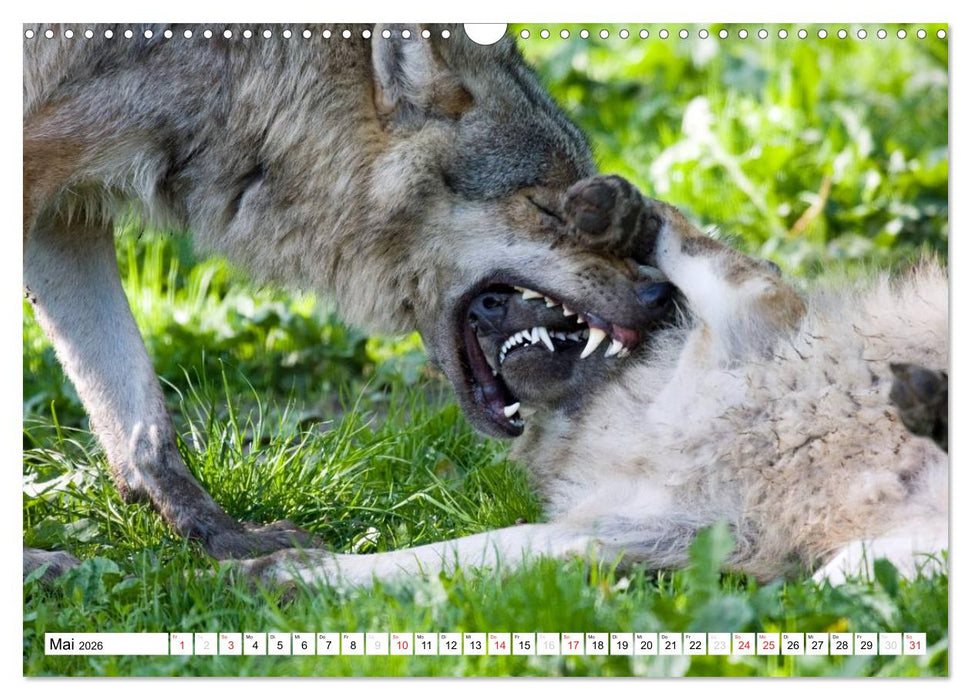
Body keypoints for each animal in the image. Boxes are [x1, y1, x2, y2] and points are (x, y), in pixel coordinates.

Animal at [23, 25, 675, 578]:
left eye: (590, 195)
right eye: (544, 206)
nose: (660, 291)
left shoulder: (65, 218)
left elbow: (143, 427)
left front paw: (229, 539)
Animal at [235, 175, 948, 588]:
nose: (486, 306)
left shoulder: (754, 303)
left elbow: (681, 233)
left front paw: (621, 209)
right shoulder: (656, 527)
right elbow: (469, 552)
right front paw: (299, 575)